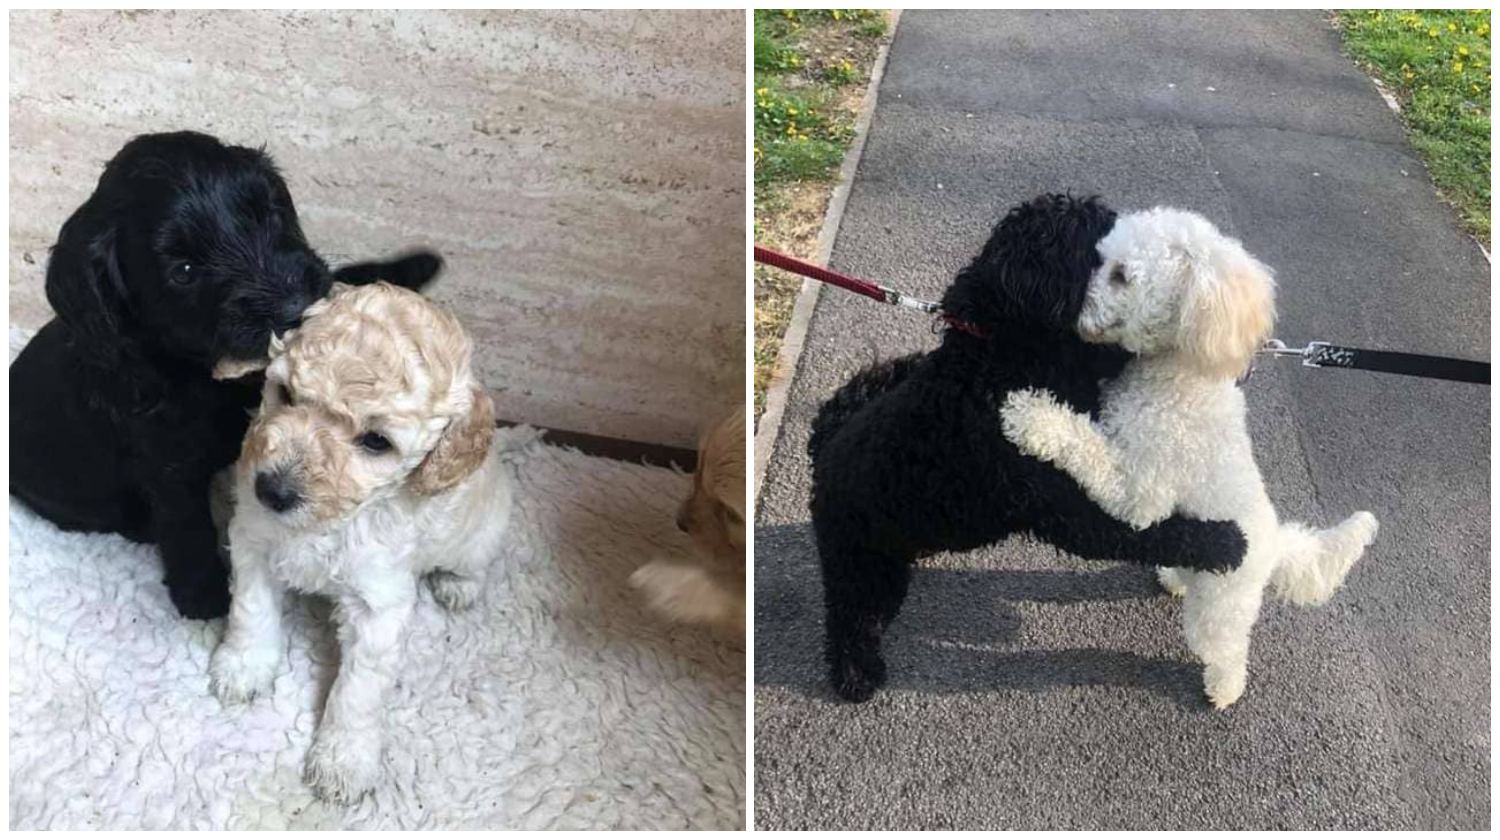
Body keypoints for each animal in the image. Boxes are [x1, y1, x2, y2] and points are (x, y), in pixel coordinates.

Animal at [10, 129, 444, 618]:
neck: (197, 369)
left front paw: (411, 265)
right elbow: (187, 526)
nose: (294, 308)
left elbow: (345, 278)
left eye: (270, 214)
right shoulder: (167, 465)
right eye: (183, 271)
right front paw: (205, 597)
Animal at [208, 282, 516, 798]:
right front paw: (244, 666)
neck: (333, 520)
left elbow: (358, 689)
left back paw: (458, 586)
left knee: (474, 563)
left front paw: (343, 761)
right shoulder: (252, 536)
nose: (272, 490)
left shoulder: (380, 603)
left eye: (376, 442)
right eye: (285, 394)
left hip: (483, 529)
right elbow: (252, 611)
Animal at [810, 195, 1254, 702]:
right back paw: (855, 673)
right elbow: (1147, 531)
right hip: (859, 565)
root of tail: (822, 450)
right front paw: (1225, 542)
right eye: (1097, 252)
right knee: (851, 618)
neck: (996, 356)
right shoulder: (1064, 508)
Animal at [1002, 205, 1374, 708]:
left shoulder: (1140, 493)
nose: (1072, 311)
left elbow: (1085, 443)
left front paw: (1031, 417)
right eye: (1100, 258)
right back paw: (1173, 578)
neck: (1182, 372)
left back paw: (1224, 690)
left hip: (1220, 608)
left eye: (1121, 275)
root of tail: (1275, 543)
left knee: (1226, 649)